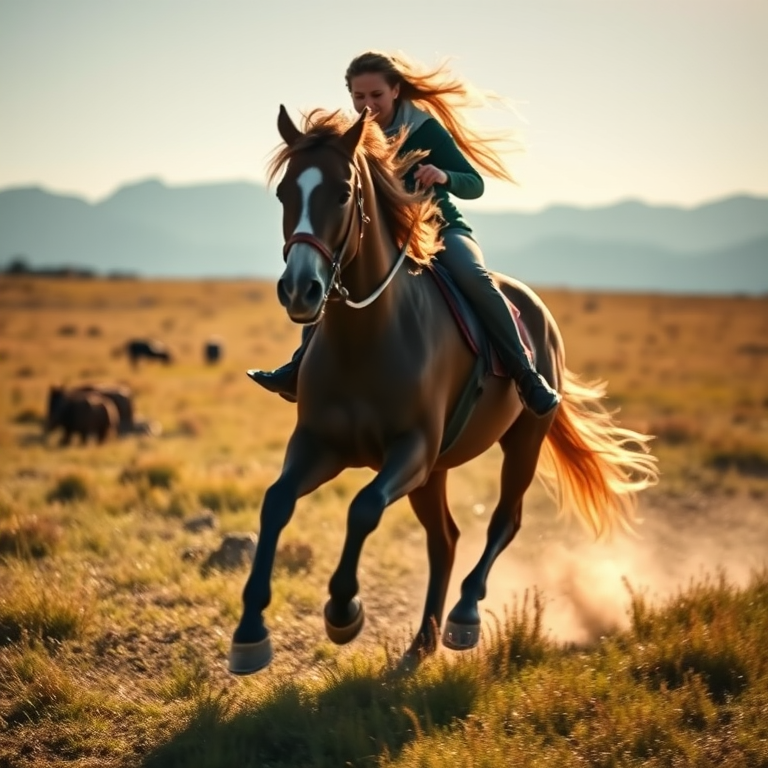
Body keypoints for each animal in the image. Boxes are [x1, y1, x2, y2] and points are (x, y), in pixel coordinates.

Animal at [228, 105, 659, 675]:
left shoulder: (411, 450)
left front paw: (343, 611)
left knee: (504, 521)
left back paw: (462, 617)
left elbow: (363, 508)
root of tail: (537, 310)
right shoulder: (322, 445)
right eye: (284, 193)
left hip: (521, 441)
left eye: (342, 192)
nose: (301, 289)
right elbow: (276, 502)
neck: (366, 337)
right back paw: (421, 643)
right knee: (445, 539)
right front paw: (249, 633)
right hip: (435, 473)